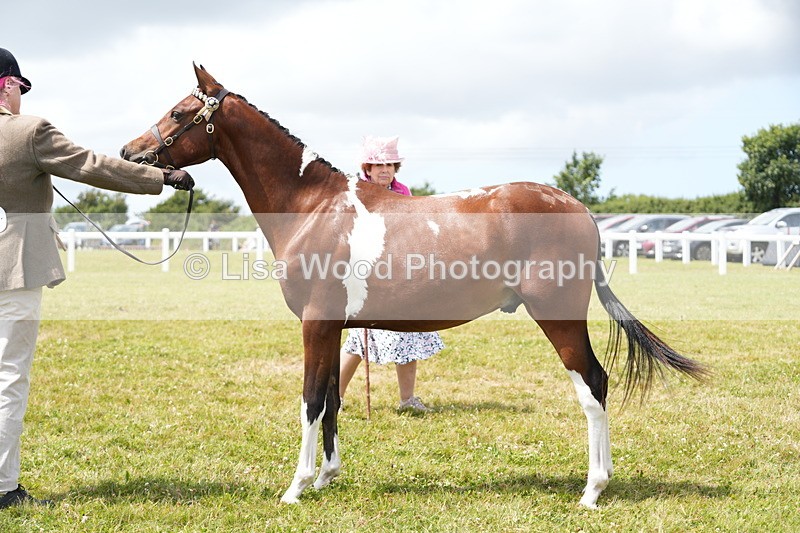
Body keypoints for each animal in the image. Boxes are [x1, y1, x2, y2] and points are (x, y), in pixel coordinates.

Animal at [120, 64, 707, 508]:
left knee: (592, 385)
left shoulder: (315, 323)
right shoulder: (335, 327)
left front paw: (296, 487)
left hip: (558, 317)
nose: (130, 152)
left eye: (179, 113)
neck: (314, 208)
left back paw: (592, 490)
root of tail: (576, 207)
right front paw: (327, 476)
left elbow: (310, 400)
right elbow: (332, 398)